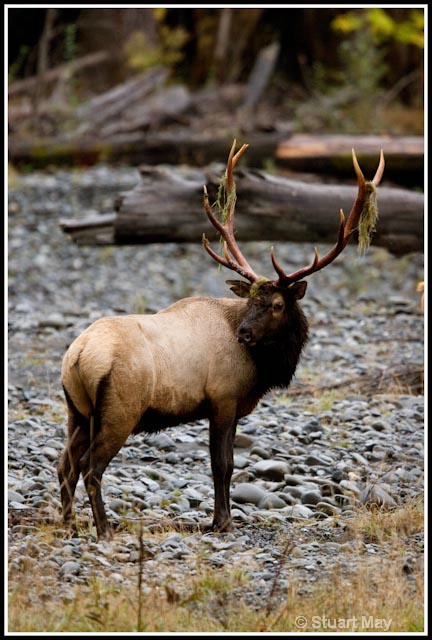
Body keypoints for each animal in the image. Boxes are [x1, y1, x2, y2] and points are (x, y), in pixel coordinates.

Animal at [58, 141, 384, 540]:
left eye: (275, 304)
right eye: (252, 301)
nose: (244, 334)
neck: (263, 371)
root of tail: (77, 355)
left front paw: (218, 519)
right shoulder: (224, 399)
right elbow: (223, 465)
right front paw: (223, 521)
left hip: (77, 411)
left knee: (65, 465)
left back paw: (68, 523)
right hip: (120, 410)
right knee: (91, 467)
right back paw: (103, 528)